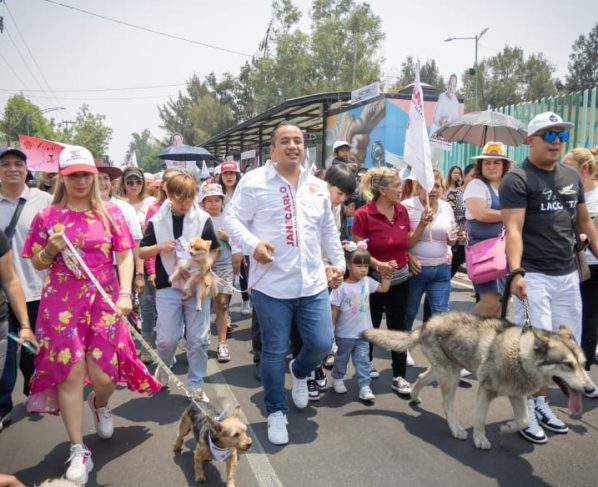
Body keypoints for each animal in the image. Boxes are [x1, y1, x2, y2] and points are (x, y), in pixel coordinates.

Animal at [364, 312, 596, 450]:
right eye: (567, 365)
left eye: (584, 364)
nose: (590, 388)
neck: (520, 356)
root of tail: (426, 325)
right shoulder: (486, 391)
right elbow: (480, 419)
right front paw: (480, 439)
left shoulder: (516, 394)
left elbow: (522, 420)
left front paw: (507, 428)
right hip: (450, 376)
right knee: (447, 404)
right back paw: (456, 429)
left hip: (447, 371)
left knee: (421, 377)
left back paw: (414, 395)